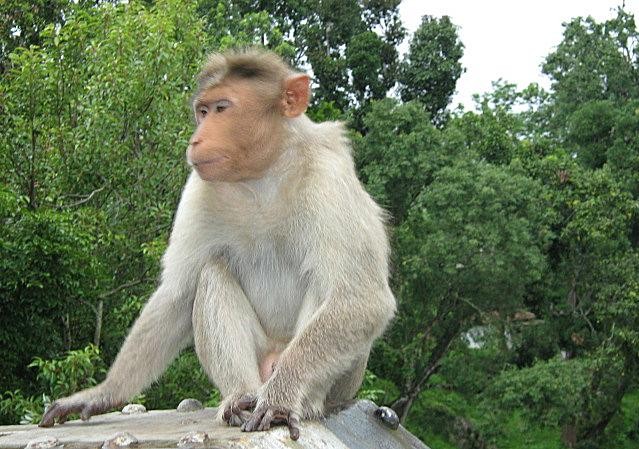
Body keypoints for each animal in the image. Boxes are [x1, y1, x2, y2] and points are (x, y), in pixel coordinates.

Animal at [38, 47, 396, 440]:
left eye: (222, 108)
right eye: (203, 111)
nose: (196, 139)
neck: (263, 174)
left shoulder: (330, 180)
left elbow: (362, 299)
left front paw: (281, 397)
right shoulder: (200, 188)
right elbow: (177, 294)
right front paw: (103, 392)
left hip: (338, 378)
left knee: (330, 288)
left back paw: (294, 398)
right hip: (258, 360)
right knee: (210, 272)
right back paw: (239, 397)